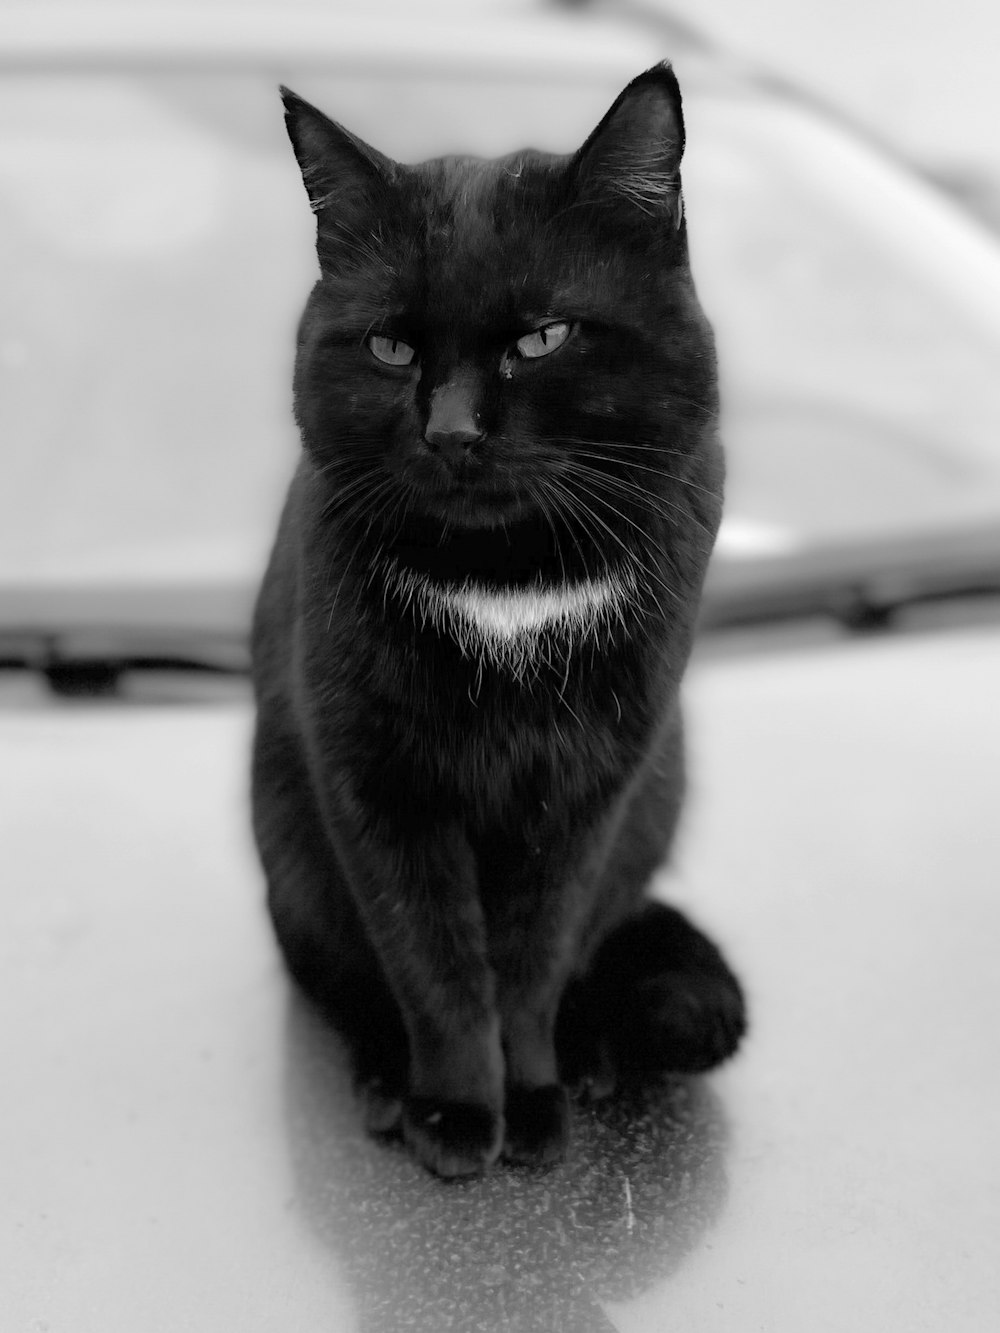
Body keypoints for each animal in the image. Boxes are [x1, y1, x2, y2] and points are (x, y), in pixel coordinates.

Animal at [254, 64, 746, 1178]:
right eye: (391, 346)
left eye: (541, 338)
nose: (451, 432)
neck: (509, 587)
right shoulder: (378, 783)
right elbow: (431, 954)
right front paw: (454, 1109)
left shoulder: (589, 787)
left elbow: (532, 954)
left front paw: (529, 1100)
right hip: (292, 855)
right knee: (345, 974)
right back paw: (387, 1079)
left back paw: (588, 1055)